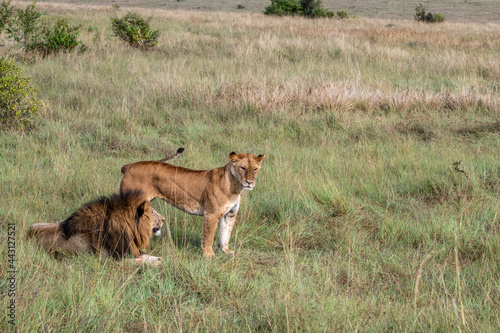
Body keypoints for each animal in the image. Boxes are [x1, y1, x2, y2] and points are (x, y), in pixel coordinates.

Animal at [26, 189, 162, 264]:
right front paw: (157, 264)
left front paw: (159, 258)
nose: (164, 219)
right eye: (152, 212)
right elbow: (139, 261)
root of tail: (26, 236)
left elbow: (145, 256)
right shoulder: (107, 259)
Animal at [119, 150, 266, 256]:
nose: (250, 182)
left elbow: (225, 234)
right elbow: (208, 236)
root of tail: (129, 166)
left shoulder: (229, 214)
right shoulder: (211, 214)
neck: (236, 187)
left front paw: (227, 252)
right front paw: (208, 255)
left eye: (255, 169)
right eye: (242, 168)